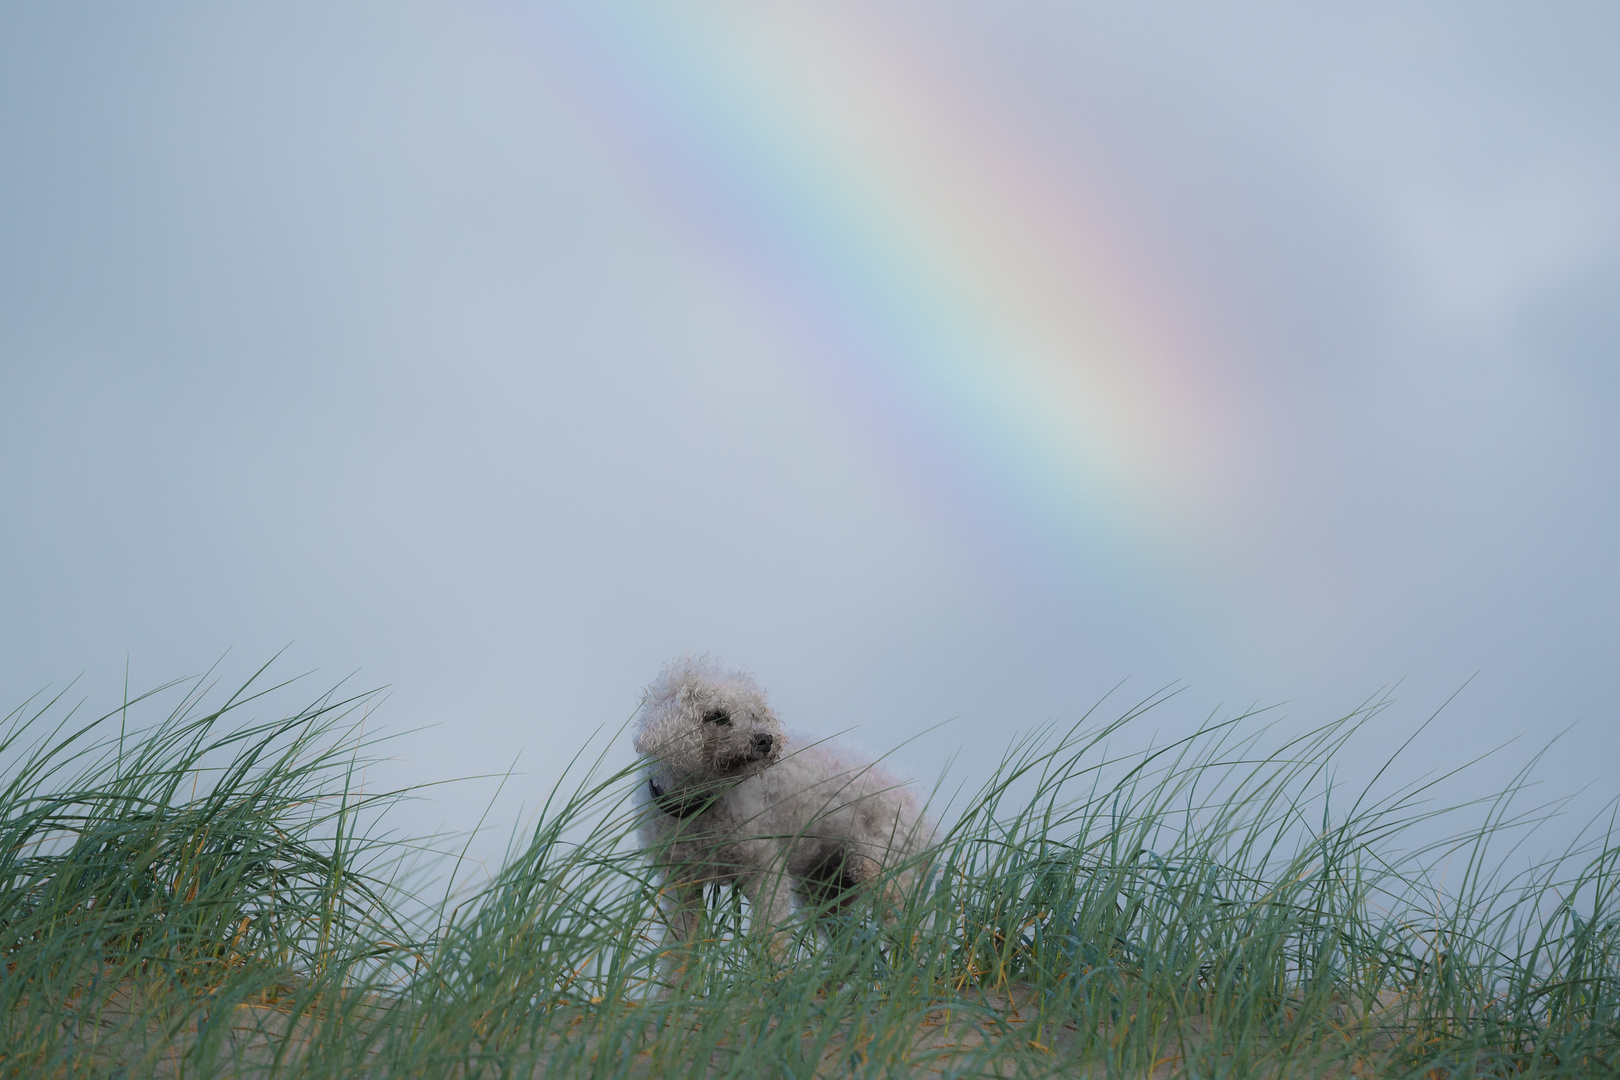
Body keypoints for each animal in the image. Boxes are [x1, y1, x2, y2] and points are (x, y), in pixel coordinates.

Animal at [635, 660, 939, 952]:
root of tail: (921, 810)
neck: (699, 807)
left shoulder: (766, 870)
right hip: (825, 895)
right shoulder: (680, 884)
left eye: (754, 713)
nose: (765, 739)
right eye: (716, 715)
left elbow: (770, 943)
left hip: (887, 873)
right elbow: (677, 952)